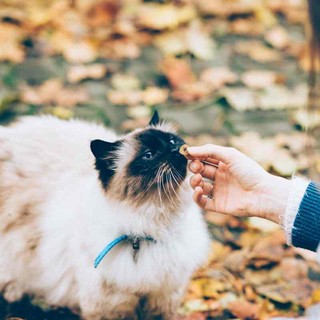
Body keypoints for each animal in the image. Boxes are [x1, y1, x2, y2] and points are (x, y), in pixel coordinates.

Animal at [0, 111, 210, 318]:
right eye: (149, 155)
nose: (175, 150)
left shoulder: (163, 297)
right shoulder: (111, 306)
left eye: (172, 141)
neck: (153, 226)